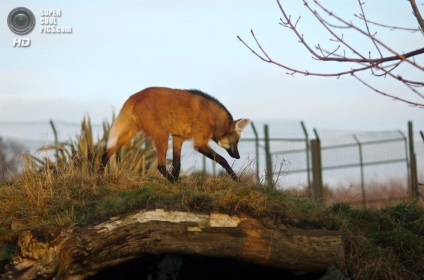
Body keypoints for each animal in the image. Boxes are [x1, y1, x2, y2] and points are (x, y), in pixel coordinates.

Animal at [101, 86, 250, 180]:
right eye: (237, 142)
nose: (238, 156)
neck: (214, 118)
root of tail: (134, 96)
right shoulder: (200, 143)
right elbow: (223, 160)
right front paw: (237, 180)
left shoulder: (178, 137)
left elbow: (177, 165)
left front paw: (177, 181)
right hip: (162, 134)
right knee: (160, 165)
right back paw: (172, 181)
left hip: (131, 134)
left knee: (107, 152)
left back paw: (99, 175)